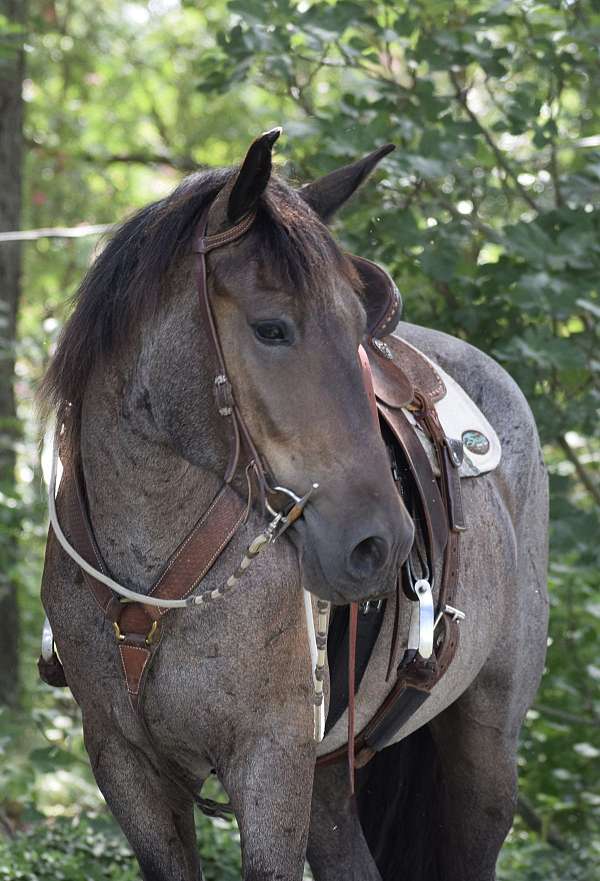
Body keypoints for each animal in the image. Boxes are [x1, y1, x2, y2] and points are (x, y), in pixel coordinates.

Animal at [39, 128, 549, 881]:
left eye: (358, 328)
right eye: (272, 328)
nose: (381, 544)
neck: (154, 578)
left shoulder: (271, 761)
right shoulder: (125, 765)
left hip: (484, 750)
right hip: (332, 772)